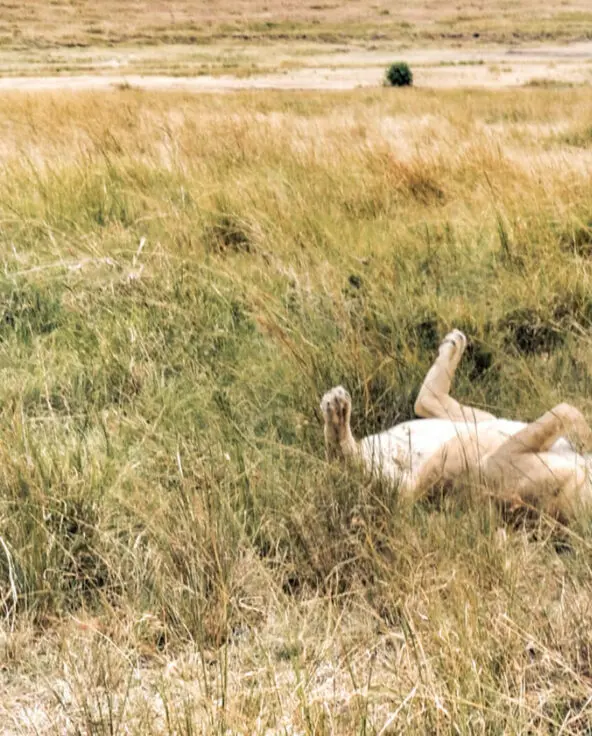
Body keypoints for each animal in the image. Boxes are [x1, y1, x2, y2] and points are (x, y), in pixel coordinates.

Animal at [321, 329, 592, 523]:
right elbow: (571, 410)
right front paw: (585, 440)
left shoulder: (499, 462)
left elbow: (564, 410)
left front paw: (584, 440)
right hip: (483, 424)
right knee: (426, 402)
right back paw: (453, 345)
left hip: (441, 465)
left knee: (346, 459)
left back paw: (336, 410)